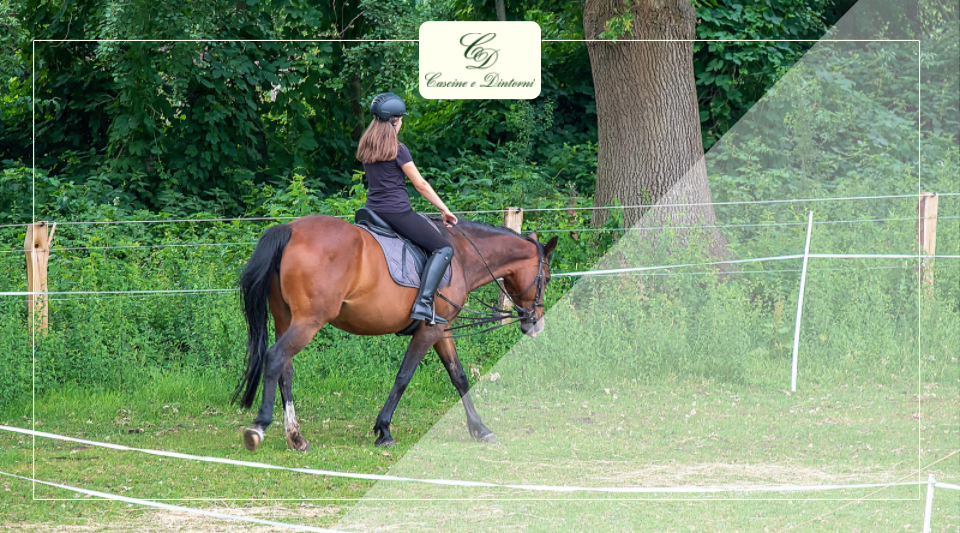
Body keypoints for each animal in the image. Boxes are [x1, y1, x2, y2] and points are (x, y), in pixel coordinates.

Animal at [232, 212, 560, 448]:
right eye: (546, 277)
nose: (536, 323)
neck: (463, 256)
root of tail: (290, 229)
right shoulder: (428, 332)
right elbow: (404, 376)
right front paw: (384, 430)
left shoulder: (441, 329)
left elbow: (459, 377)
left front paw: (480, 429)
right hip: (308, 322)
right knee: (275, 358)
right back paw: (259, 426)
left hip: (286, 319)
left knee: (285, 369)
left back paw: (296, 437)